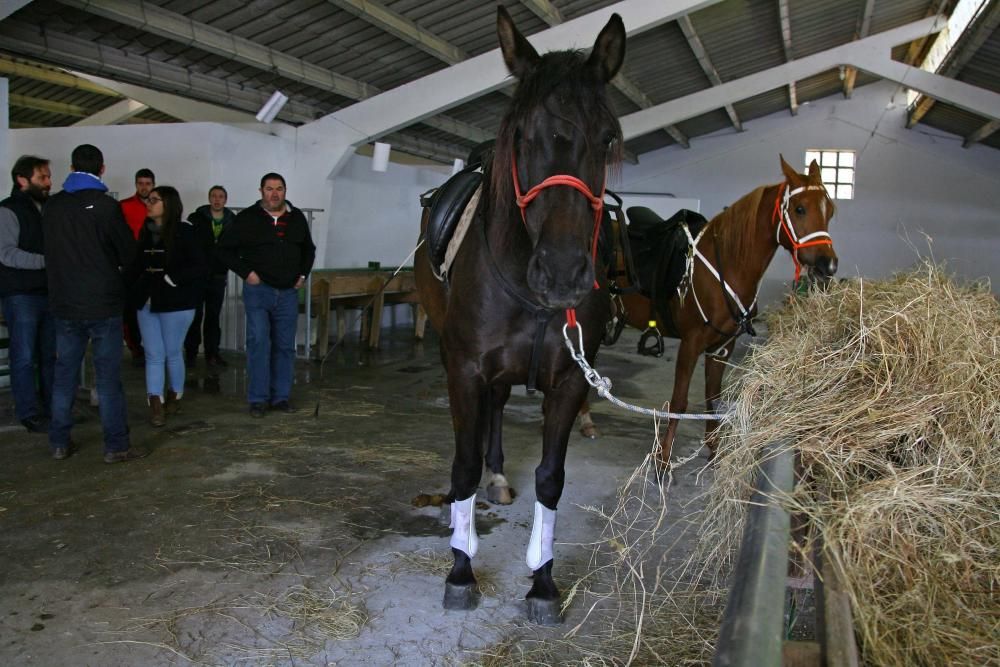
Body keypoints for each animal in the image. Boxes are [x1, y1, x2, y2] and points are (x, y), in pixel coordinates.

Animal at [410, 6, 620, 628]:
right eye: (522, 136)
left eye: (608, 137)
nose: (563, 272)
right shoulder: (464, 368)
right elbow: (459, 466)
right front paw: (460, 571)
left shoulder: (571, 379)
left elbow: (550, 479)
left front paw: (543, 582)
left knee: (500, 409)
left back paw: (499, 476)